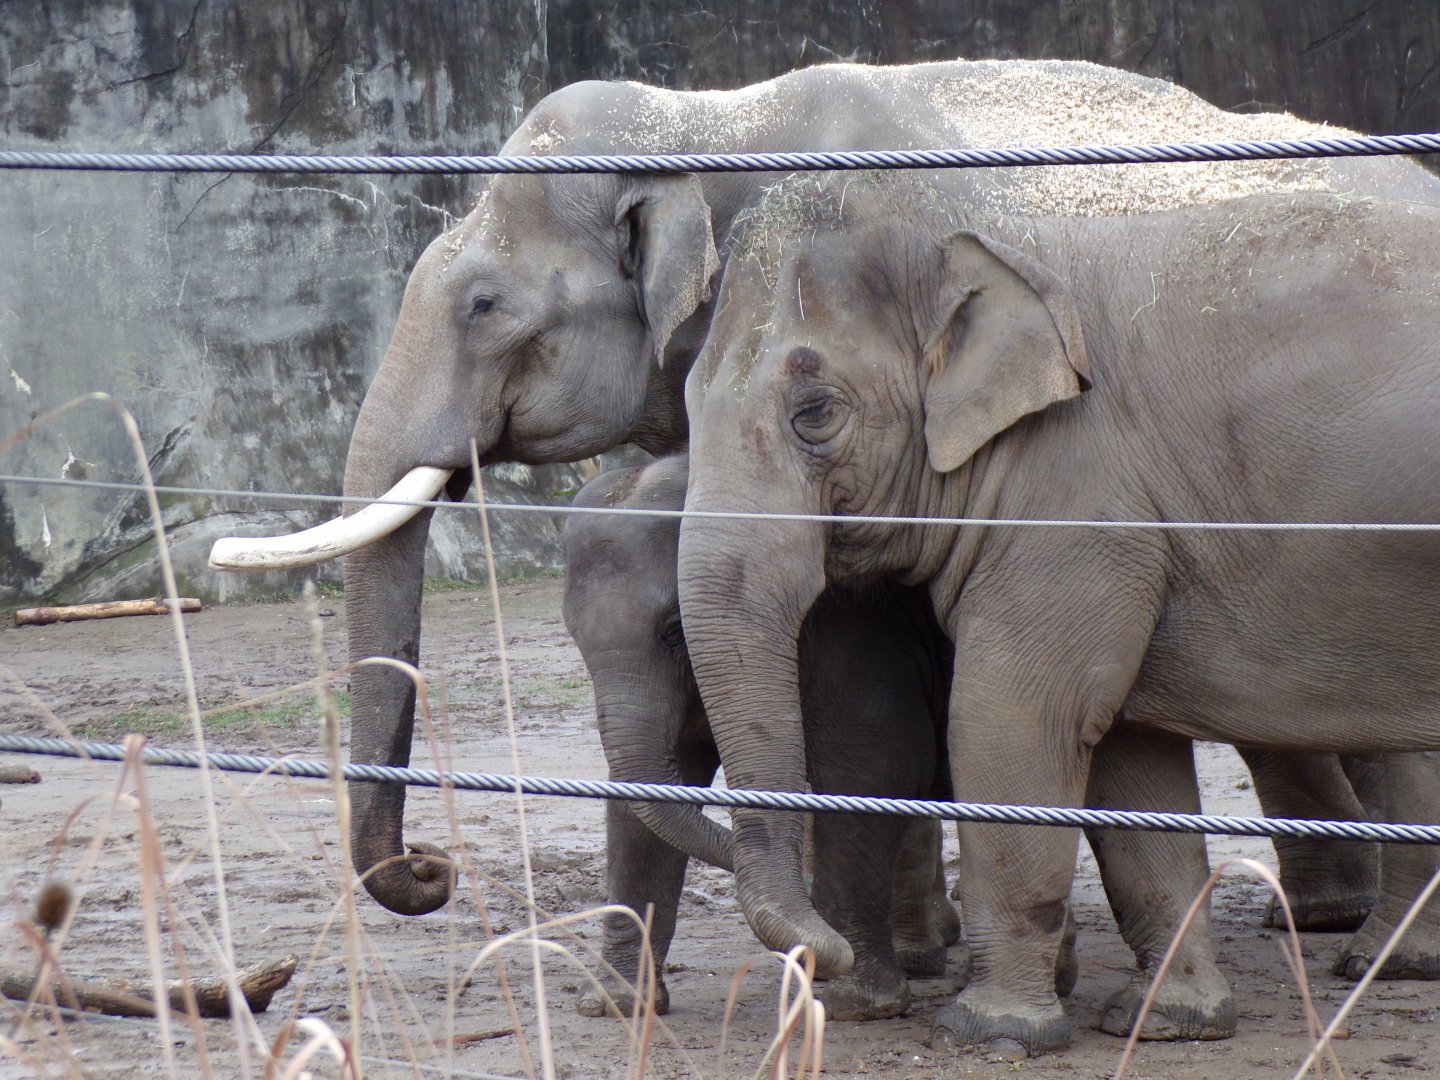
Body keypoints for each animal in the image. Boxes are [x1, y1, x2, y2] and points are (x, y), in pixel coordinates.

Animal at [561, 453, 976, 1020]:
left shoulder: (842, 627)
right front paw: (619, 1005)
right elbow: (642, 800)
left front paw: (855, 994)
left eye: (673, 631)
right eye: (573, 637)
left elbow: (876, 761)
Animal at [675, 173, 1440, 1055]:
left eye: (814, 412)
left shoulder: (1076, 500)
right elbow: (1127, 757)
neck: (988, 235)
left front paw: (989, 1032)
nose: (822, 962)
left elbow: (1009, 720)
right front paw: (1169, 1021)